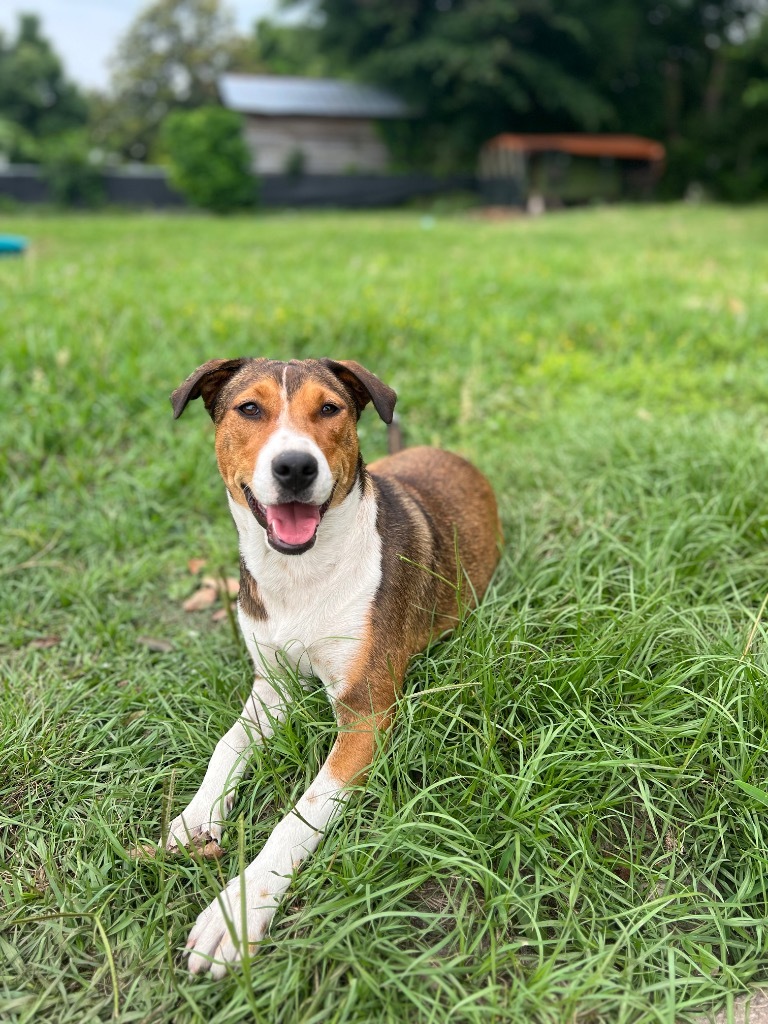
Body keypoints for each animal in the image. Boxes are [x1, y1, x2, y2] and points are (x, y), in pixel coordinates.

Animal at [164, 358, 501, 974]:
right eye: (249, 408)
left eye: (329, 408)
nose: (295, 466)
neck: (301, 571)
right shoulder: (271, 685)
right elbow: (227, 743)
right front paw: (198, 813)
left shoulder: (365, 714)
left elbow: (301, 814)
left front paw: (237, 911)